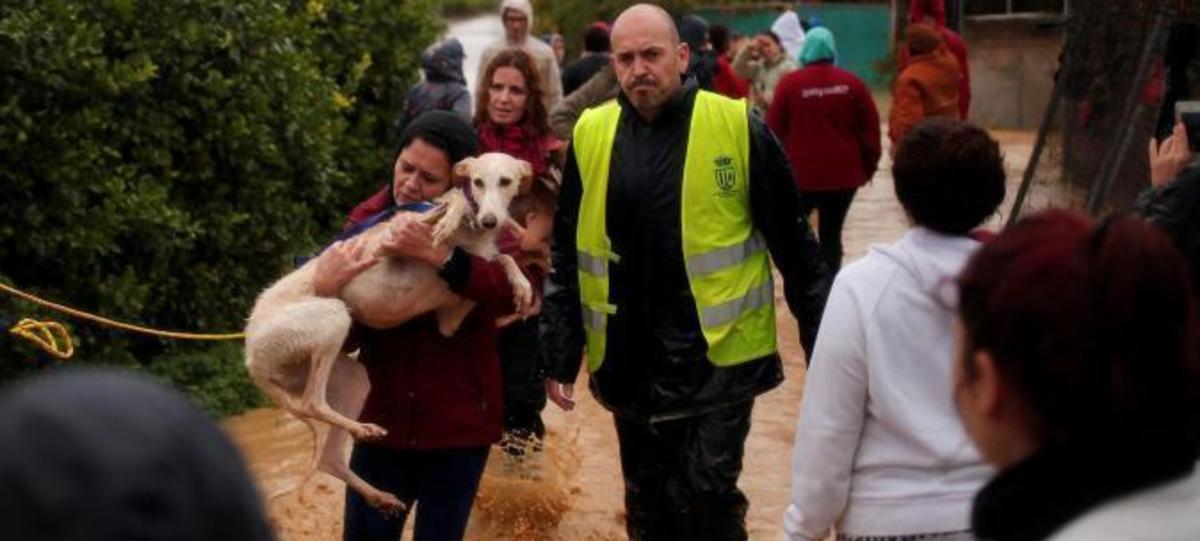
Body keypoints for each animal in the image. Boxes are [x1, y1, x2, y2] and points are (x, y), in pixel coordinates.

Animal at [246, 152, 537, 513]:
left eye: (506, 181)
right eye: (478, 181)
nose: (489, 221)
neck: (469, 238)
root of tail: (249, 355)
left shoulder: (449, 318)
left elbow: (503, 258)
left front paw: (522, 287)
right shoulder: (388, 242)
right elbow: (452, 204)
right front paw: (448, 215)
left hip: (352, 377)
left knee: (330, 455)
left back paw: (378, 492)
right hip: (332, 317)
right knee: (314, 403)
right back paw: (364, 430)